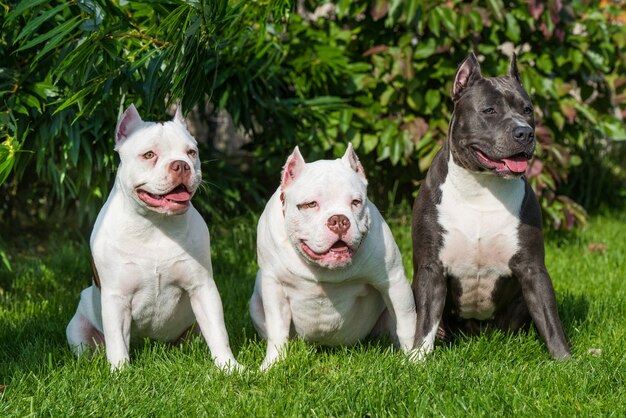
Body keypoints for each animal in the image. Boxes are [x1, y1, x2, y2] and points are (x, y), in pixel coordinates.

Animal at [66, 106, 239, 370]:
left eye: (191, 152)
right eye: (149, 155)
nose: (181, 165)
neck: (155, 224)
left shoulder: (203, 287)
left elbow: (218, 332)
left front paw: (230, 367)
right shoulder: (116, 297)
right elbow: (117, 342)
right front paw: (120, 372)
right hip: (77, 327)